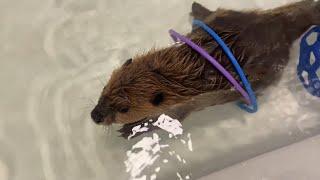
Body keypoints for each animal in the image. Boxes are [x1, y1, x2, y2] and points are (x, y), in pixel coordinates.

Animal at [89, 0, 320, 137]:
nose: (95, 115)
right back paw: (197, 8)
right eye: (105, 89)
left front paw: (129, 130)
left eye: (124, 109)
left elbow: (168, 120)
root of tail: (280, 23)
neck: (169, 75)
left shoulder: (184, 105)